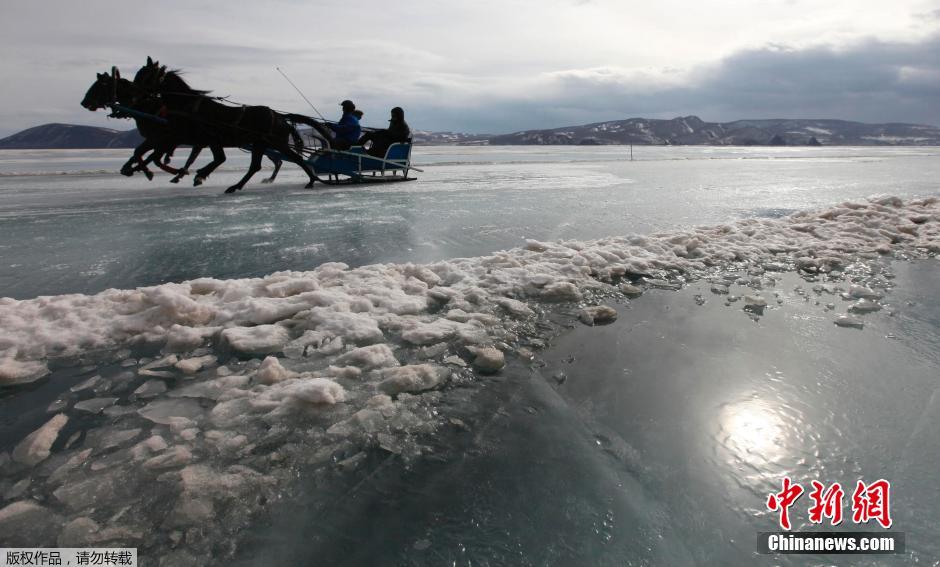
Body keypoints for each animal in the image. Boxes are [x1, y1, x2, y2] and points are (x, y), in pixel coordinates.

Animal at [132, 56, 330, 193]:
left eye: (145, 75)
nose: (135, 94)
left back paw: (312, 180)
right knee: (258, 166)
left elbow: (218, 159)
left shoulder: (207, 138)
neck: (188, 106)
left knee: (294, 159)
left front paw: (198, 175)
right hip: (261, 143)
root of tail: (279, 116)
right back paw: (236, 186)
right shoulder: (192, 138)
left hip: (275, 142)